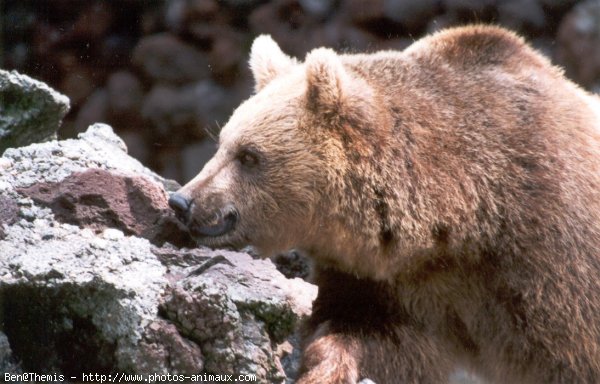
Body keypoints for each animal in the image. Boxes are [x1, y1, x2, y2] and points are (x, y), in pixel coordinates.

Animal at [169, 25, 600, 382]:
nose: (182, 200)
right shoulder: (389, 284)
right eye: (221, 142)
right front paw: (326, 367)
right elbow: (368, 335)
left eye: (249, 155)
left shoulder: (552, 262)